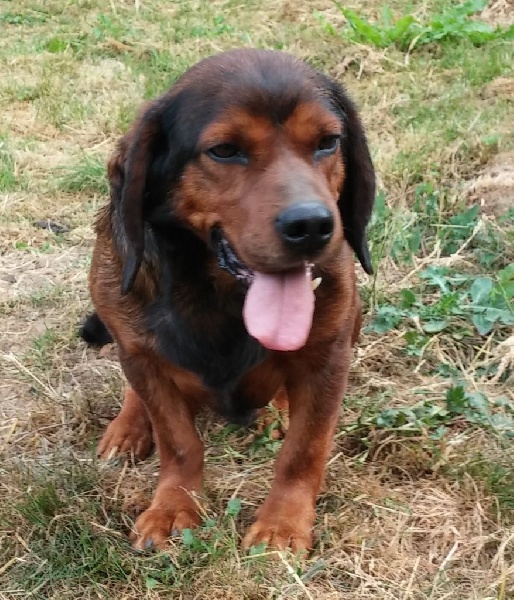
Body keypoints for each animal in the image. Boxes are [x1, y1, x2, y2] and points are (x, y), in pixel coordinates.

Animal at [81, 48, 375, 552]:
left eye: (328, 142)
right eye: (223, 150)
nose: (313, 226)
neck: (221, 295)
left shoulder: (329, 357)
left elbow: (304, 450)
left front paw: (282, 524)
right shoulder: (142, 353)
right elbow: (179, 442)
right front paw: (174, 506)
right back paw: (129, 425)